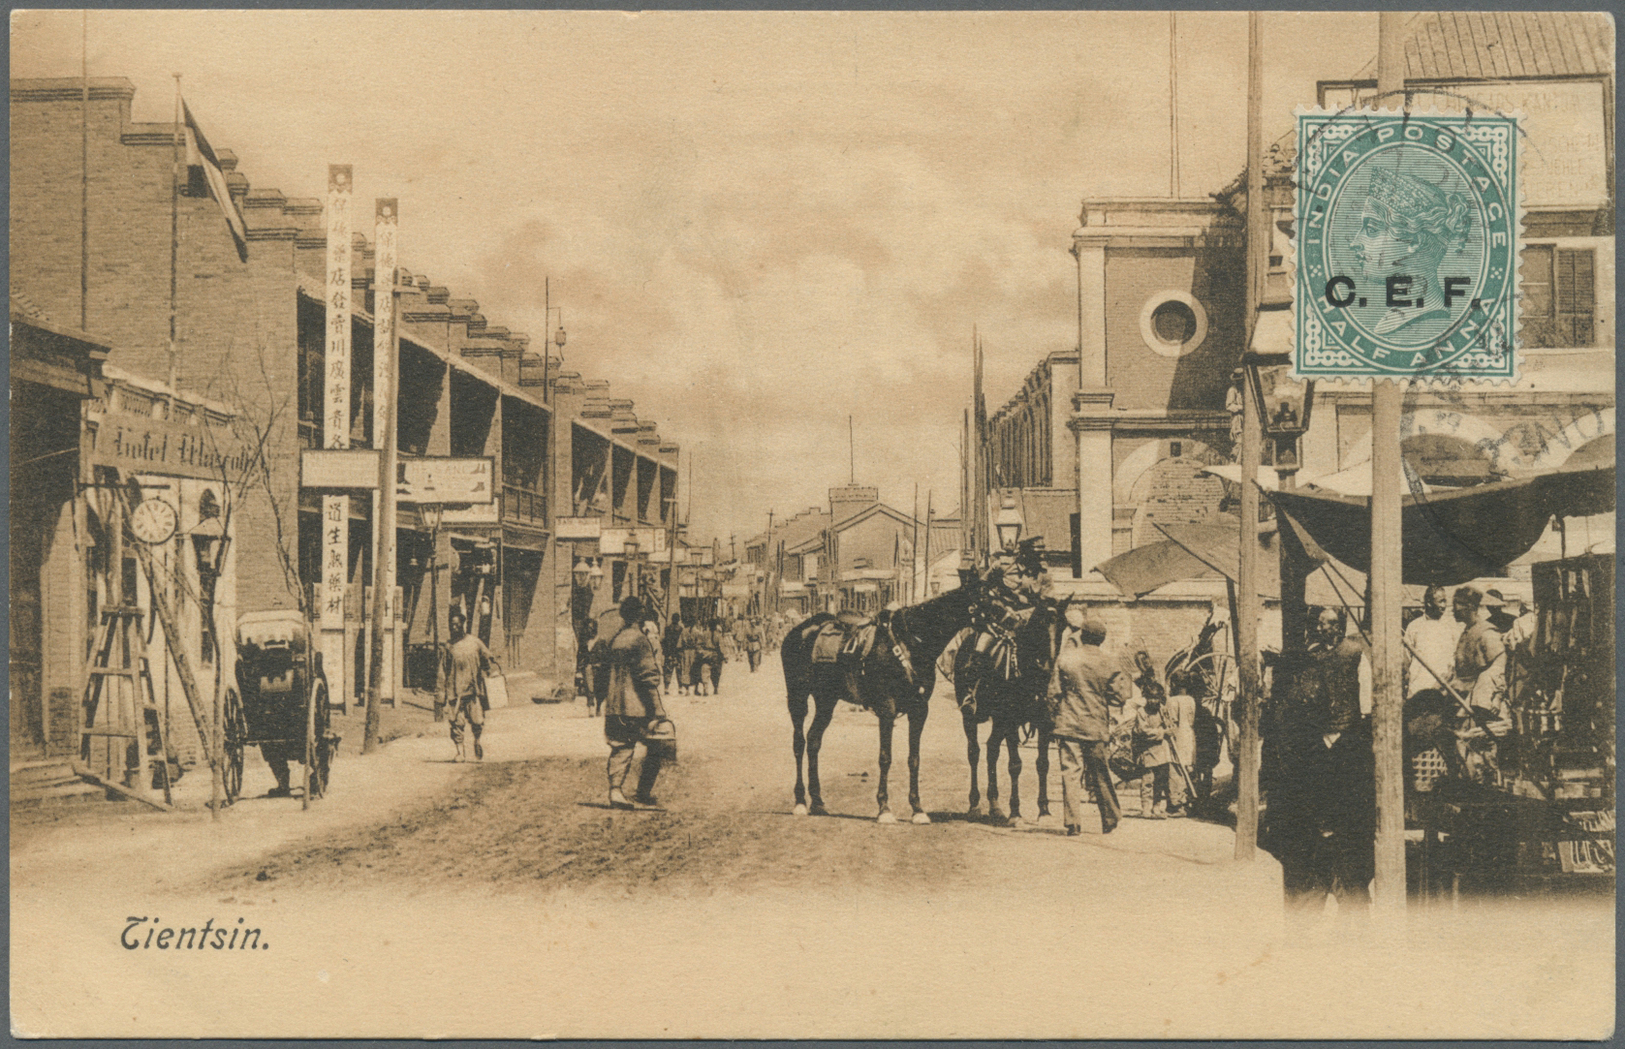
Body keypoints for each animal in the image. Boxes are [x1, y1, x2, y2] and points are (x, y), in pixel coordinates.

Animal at [783, 584, 975, 821]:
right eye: (995, 594)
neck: (909, 642)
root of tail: (799, 630)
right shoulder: (887, 709)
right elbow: (885, 757)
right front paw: (884, 808)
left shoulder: (919, 710)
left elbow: (914, 758)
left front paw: (917, 809)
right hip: (797, 697)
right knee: (799, 743)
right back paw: (800, 801)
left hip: (826, 700)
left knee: (813, 741)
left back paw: (818, 802)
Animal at [949, 600, 1066, 821]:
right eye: (1040, 626)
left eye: (1063, 627)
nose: (1048, 669)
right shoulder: (1011, 722)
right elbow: (1015, 765)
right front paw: (1016, 812)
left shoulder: (1043, 723)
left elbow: (1043, 763)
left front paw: (1044, 810)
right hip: (971, 717)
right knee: (974, 752)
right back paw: (975, 804)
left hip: (998, 722)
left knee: (992, 750)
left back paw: (995, 805)